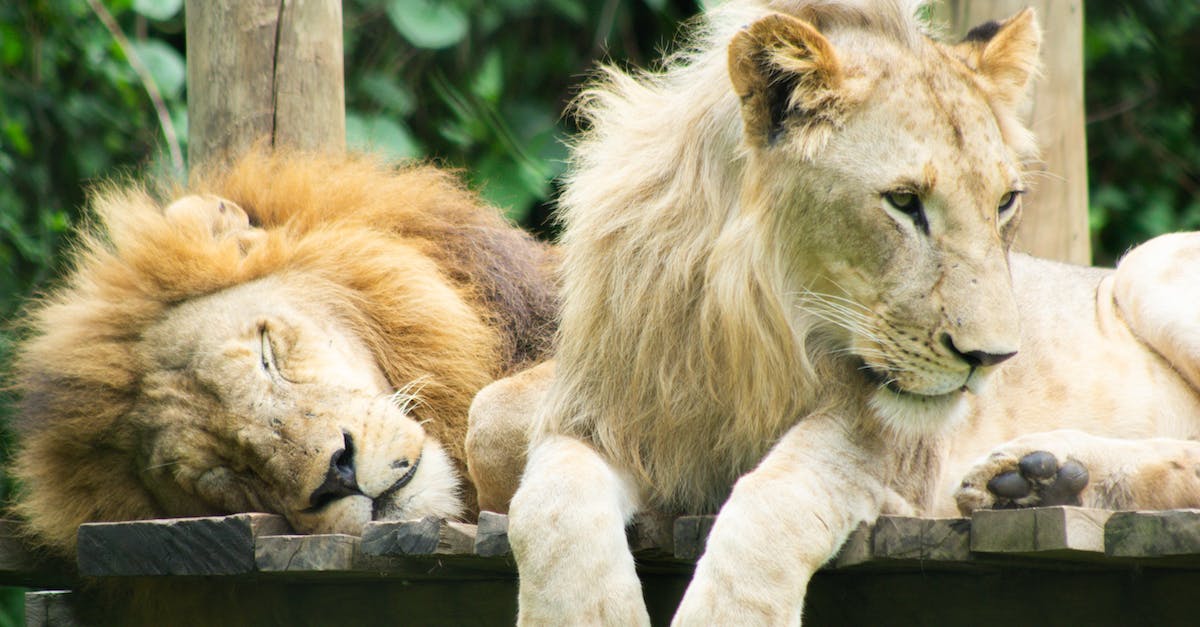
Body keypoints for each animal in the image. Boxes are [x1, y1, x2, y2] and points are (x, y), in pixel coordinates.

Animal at [464, 0, 1200, 623]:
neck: (744, 328)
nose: (992, 359)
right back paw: (1036, 480)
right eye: (903, 201)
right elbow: (537, 493)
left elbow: (772, 506)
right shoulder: (597, 408)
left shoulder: (886, 440)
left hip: (1148, 264)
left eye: (1004, 203)